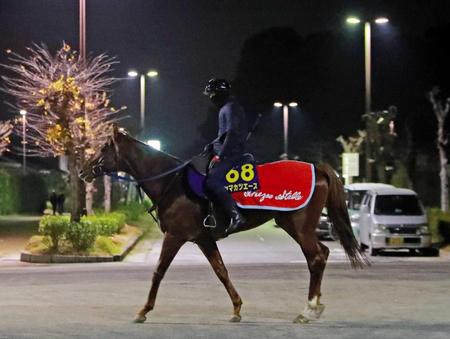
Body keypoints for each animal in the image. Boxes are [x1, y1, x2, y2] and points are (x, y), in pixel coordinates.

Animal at [79, 127, 368, 324]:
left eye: (103, 148)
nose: (83, 171)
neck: (173, 183)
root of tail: (317, 169)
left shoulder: (175, 236)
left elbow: (158, 272)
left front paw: (143, 310)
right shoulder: (204, 239)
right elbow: (221, 271)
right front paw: (237, 308)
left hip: (299, 226)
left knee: (316, 257)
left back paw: (308, 310)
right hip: (294, 226)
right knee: (321, 254)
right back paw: (315, 305)